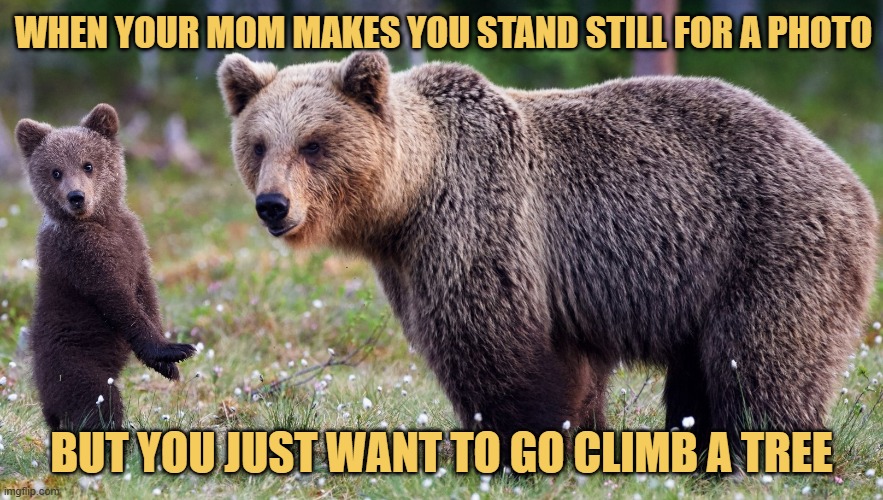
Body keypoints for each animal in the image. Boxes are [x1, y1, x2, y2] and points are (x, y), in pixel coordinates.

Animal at [15, 104, 197, 431]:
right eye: (56, 171)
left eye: (88, 165)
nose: (76, 197)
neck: (99, 222)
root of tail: (46, 406)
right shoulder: (82, 256)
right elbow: (118, 300)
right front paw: (175, 350)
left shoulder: (134, 243)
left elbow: (146, 293)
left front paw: (168, 366)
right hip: (74, 364)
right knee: (97, 405)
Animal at [217, 51, 878, 456]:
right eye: (259, 144)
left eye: (313, 144)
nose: (272, 205)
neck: (408, 200)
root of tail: (849, 176)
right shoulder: (412, 261)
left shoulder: (481, 225)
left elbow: (496, 346)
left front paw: (520, 441)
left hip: (768, 250)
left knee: (760, 362)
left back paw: (765, 447)